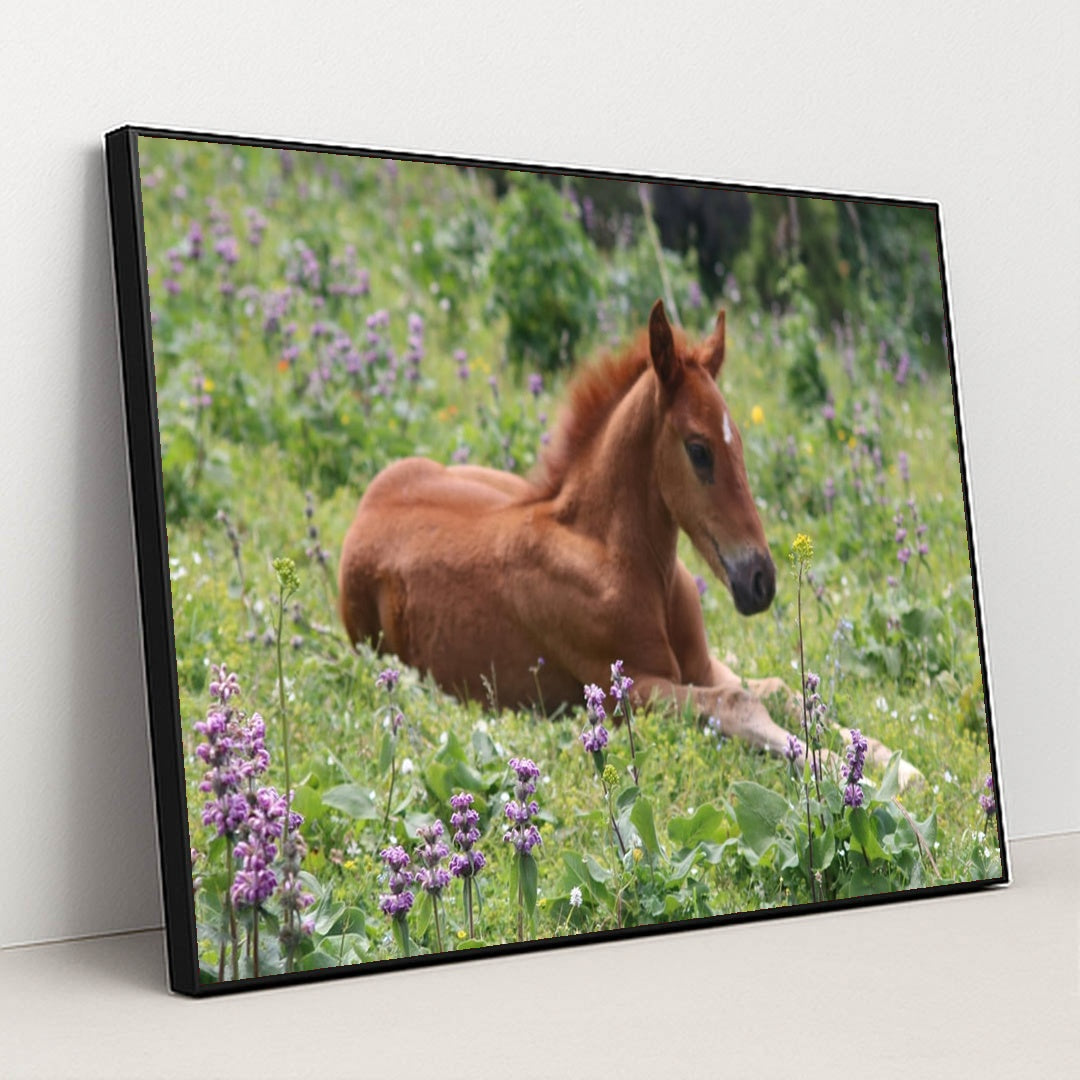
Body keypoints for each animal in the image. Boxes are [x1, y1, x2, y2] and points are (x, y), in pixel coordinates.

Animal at [339, 300, 909, 778]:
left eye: (740, 444)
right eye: (699, 450)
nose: (761, 580)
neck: (626, 562)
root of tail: (370, 499)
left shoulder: (702, 665)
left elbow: (779, 688)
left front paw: (888, 759)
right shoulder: (627, 689)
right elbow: (742, 703)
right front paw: (842, 766)